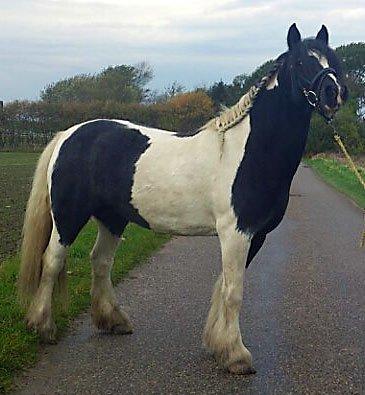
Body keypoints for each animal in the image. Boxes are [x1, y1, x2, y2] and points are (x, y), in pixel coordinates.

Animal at [18, 24, 346, 374]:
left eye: (333, 60)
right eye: (300, 62)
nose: (334, 93)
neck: (249, 151)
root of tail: (68, 134)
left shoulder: (255, 235)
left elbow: (223, 285)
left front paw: (219, 345)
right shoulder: (236, 233)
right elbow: (234, 292)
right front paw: (237, 356)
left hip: (113, 218)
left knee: (101, 261)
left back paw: (113, 320)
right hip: (68, 217)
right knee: (52, 261)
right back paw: (43, 327)